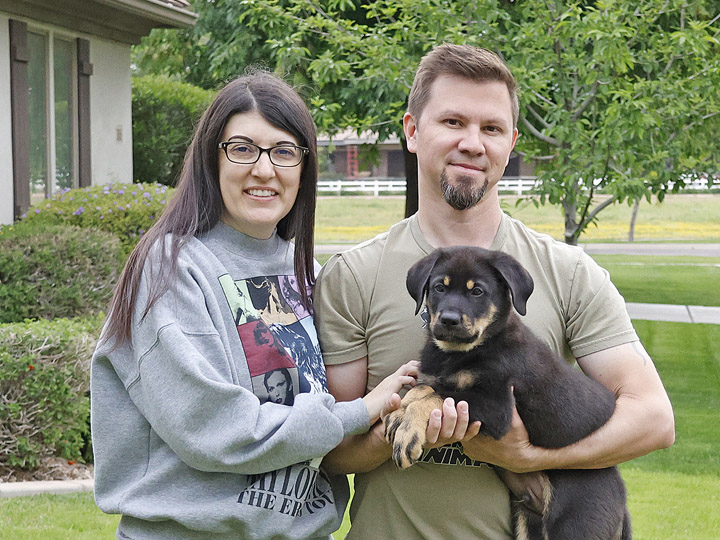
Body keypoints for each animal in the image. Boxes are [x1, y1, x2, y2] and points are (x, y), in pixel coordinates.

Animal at [382, 247, 632, 536]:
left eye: (477, 292)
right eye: (439, 288)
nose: (448, 320)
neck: (464, 352)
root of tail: (622, 502)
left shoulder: (497, 406)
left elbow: (439, 395)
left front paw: (408, 435)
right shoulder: (436, 378)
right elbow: (423, 387)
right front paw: (398, 417)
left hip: (576, 522)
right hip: (526, 521)